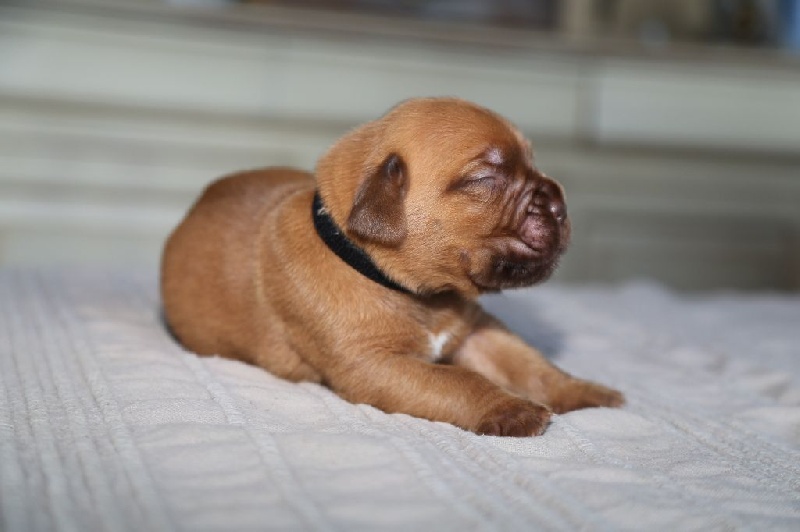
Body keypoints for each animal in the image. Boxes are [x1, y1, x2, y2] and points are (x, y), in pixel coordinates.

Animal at [161, 97, 624, 436]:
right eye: (484, 179)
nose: (560, 205)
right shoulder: (374, 365)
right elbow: (460, 381)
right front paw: (513, 410)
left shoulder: (478, 332)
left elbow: (533, 365)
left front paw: (585, 391)